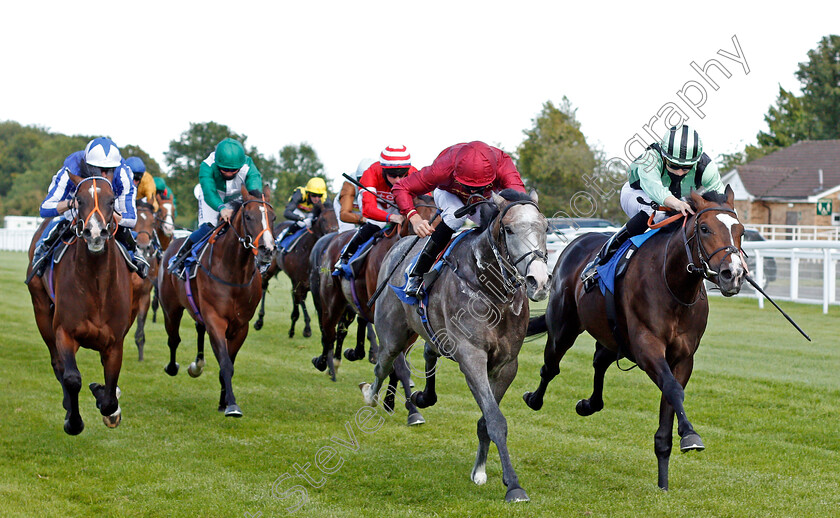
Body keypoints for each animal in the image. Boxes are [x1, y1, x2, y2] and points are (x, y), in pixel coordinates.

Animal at [26, 175, 133, 434]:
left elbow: (110, 394)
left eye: (112, 200)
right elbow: (72, 378)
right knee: (58, 364)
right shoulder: (65, 332)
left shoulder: (115, 342)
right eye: (79, 199)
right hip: (41, 309)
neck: (96, 287)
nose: (95, 233)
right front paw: (73, 422)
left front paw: (106, 402)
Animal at [158, 187, 276, 418]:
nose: (267, 249)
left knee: (198, 330)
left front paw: (224, 401)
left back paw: (197, 365)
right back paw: (173, 367)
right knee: (174, 338)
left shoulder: (241, 326)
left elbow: (229, 362)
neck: (234, 272)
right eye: (248, 216)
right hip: (170, 308)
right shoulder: (216, 319)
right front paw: (232, 405)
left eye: (273, 217)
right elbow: (225, 363)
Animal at [253, 203, 338, 338]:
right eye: (324, 219)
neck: (308, 251)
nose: (335, 232)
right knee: (264, 285)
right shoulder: (299, 282)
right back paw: (259, 320)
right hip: (270, 269)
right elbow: (299, 302)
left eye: (337, 217)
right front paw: (304, 328)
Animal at [360, 190, 552, 504]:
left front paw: (480, 471)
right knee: (383, 365)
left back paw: (422, 396)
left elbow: (487, 420)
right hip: (393, 334)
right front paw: (514, 486)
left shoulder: (506, 365)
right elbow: (496, 420)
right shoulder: (471, 355)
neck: (492, 291)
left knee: (428, 352)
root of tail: (397, 246)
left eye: (546, 227)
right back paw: (372, 396)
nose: (540, 281)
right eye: (509, 230)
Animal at [520, 187, 744, 492]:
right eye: (705, 228)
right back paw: (534, 399)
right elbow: (673, 389)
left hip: (613, 336)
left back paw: (588, 404)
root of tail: (575, 243)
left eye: (740, 231)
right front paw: (690, 434)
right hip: (564, 327)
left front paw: (663, 481)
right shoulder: (647, 346)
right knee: (551, 366)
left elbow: (671, 398)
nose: (733, 274)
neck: (674, 286)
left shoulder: (683, 357)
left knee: (599, 361)